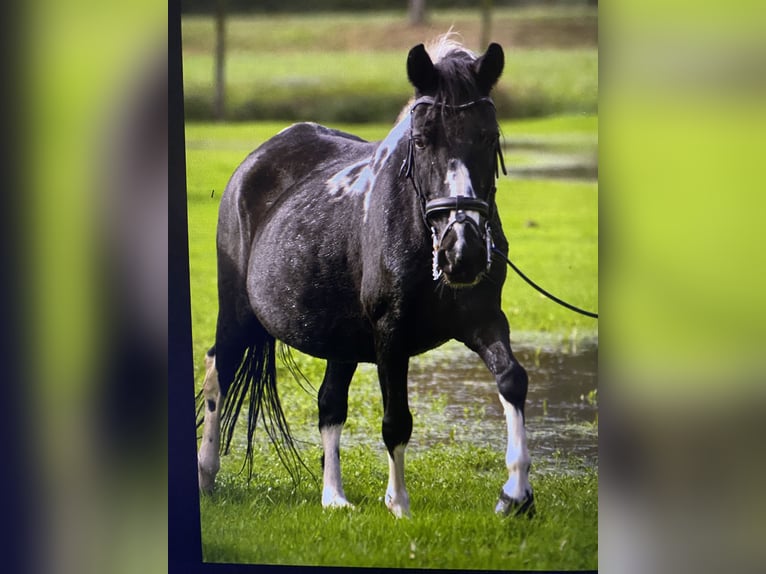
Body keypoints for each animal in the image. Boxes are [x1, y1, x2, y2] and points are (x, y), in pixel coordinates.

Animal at [196, 37, 536, 520]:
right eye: (421, 139)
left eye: (490, 137)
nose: (463, 252)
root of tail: (255, 160)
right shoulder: (390, 333)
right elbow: (396, 420)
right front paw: (399, 505)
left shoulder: (484, 320)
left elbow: (512, 379)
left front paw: (516, 494)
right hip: (239, 312)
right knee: (218, 370)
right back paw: (205, 473)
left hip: (340, 339)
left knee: (329, 404)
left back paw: (333, 496)